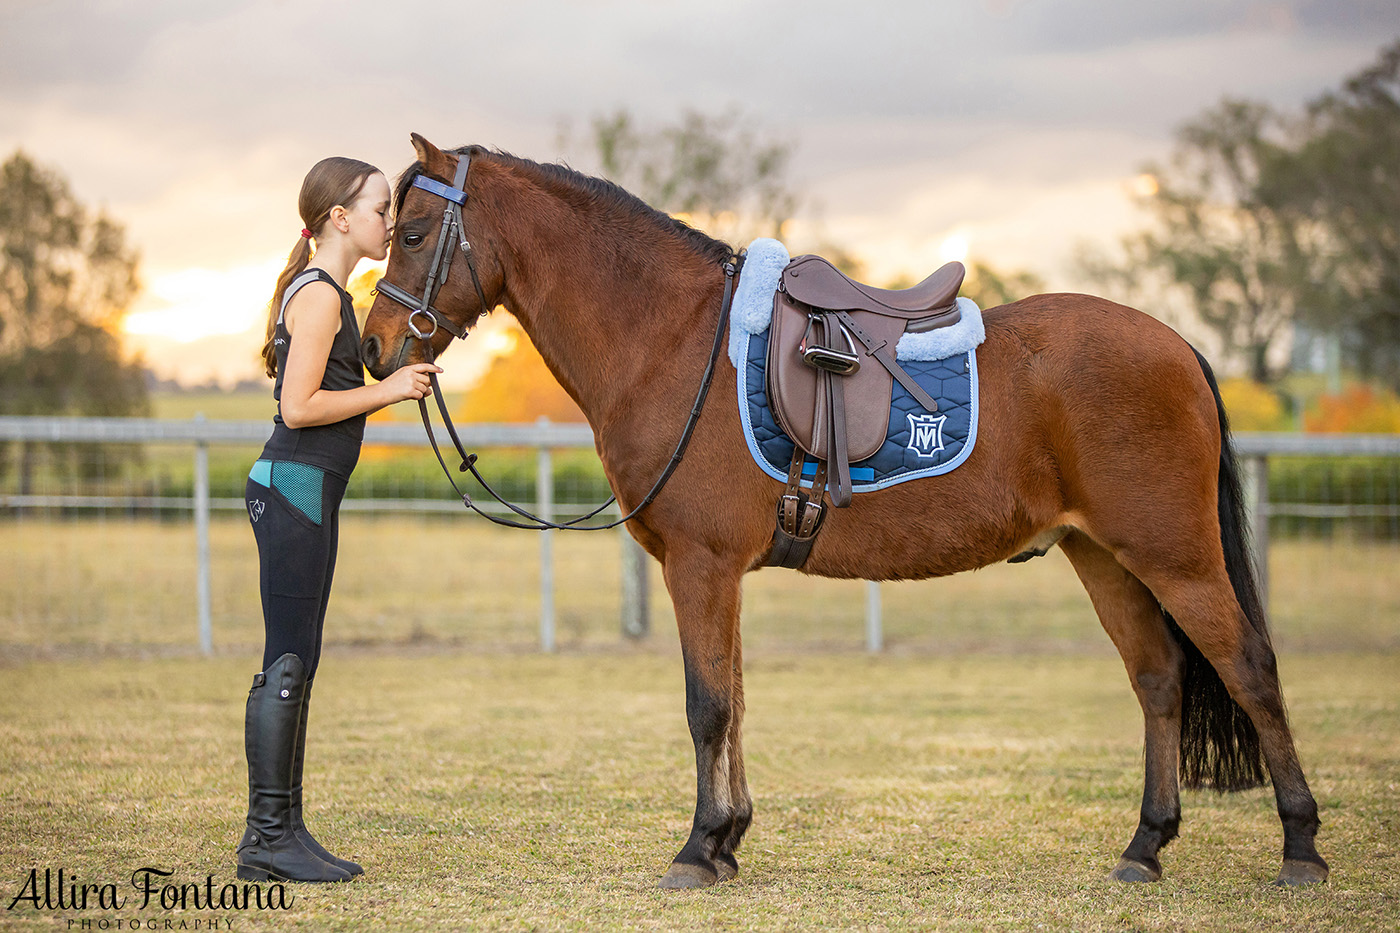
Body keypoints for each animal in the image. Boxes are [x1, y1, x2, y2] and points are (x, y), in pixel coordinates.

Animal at [358, 136, 1321, 885]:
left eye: (414, 233)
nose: (371, 347)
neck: (672, 340)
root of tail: (1179, 345)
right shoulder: (719, 572)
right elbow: (736, 698)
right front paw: (729, 840)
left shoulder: (701, 564)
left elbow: (706, 704)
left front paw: (697, 849)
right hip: (1104, 555)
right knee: (1158, 680)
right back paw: (1144, 846)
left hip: (1175, 554)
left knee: (1251, 668)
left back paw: (1301, 846)